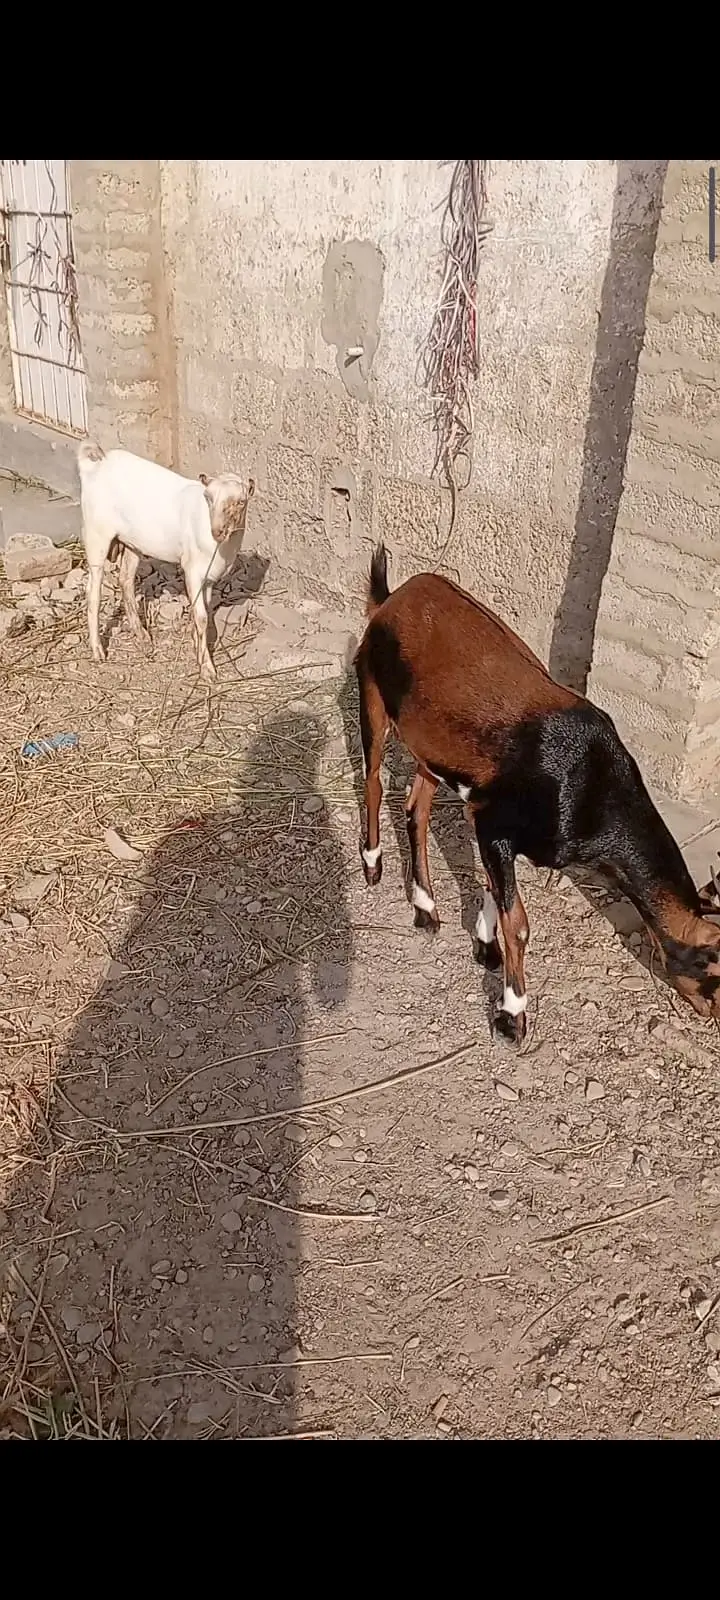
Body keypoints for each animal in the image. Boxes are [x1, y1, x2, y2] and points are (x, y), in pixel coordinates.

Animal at [78, 440, 255, 682]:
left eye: (241, 502)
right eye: (208, 498)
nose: (217, 531)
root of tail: (97, 464)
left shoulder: (209, 577)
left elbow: (204, 612)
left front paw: (198, 649)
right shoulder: (193, 570)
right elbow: (201, 616)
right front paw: (207, 669)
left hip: (133, 542)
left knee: (125, 580)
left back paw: (142, 635)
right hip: (97, 534)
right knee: (93, 592)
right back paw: (98, 649)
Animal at [354, 543, 720, 1044]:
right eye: (718, 971)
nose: (714, 1017)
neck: (590, 785)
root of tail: (394, 597)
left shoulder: (491, 825)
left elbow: (497, 893)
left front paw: (485, 947)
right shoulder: (494, 824)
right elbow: (520, 923)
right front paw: (512, 1015)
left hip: (431, 748)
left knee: (415, 809)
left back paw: (426, 909)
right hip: (372, 695)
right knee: (373, 781)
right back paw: (372, 865)